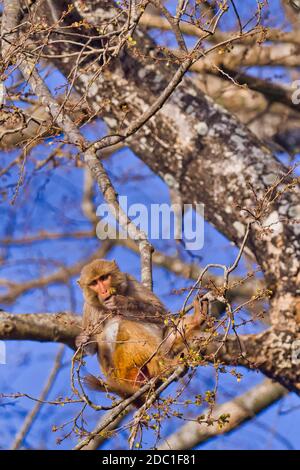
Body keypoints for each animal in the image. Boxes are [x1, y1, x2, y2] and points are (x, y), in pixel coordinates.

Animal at [75, 258, 206, 402]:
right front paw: (81, 340)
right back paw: (160, 366)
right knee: (126, 325)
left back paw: (196, 320)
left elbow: (161, 313)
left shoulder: (131, 281)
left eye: (104, 278)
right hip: (123, 371)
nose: (104, 291)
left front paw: (121, 302)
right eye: (94, 283)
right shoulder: (88, 307)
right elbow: (93, 347)